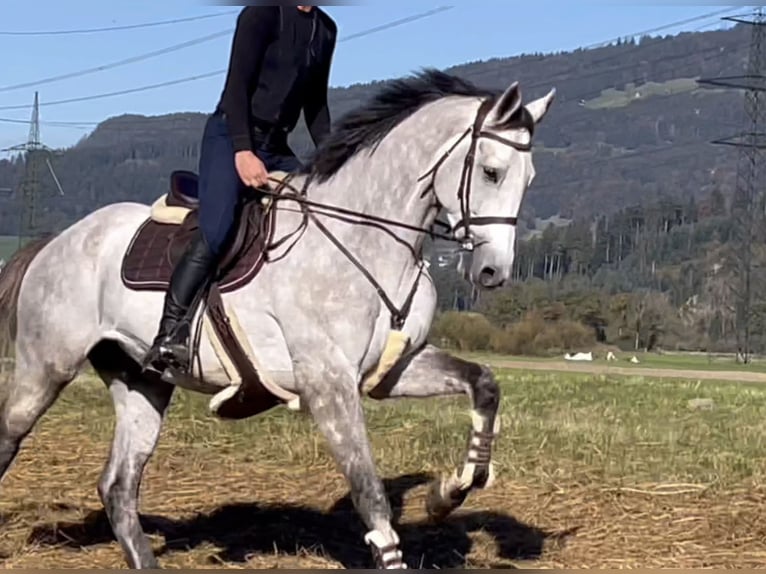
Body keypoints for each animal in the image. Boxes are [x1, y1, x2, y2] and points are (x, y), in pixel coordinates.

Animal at [0, 68, 556, 572]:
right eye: (491, 172)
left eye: (529, 179)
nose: (492, 272)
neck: (369, 243)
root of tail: (56, 240)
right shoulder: (328, 383)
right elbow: (368, 489)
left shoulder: (394, 369)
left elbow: (483, 384)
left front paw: (448, 493)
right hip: (45, 368)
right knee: (13, 436)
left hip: (142, 382)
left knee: (118, 485)